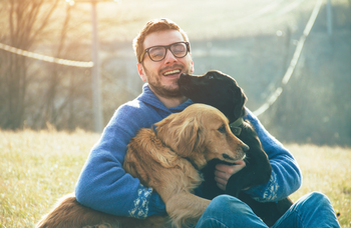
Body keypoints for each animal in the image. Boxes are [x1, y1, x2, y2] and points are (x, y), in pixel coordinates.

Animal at [179, 69, 294, 226]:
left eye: (211, 76)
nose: (182, 75)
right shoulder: (209, 177)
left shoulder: (262, 166)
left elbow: (236, 178)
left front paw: (230, 196)